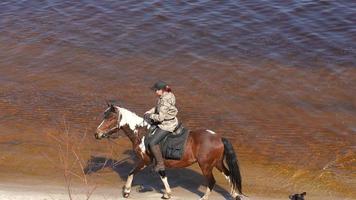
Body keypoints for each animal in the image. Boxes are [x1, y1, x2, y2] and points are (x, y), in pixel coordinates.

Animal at [94, 104, 245, 200]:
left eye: (110, 118)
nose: (97, 134)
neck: (142, 133)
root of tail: (218, 137)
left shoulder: (145, 160)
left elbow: (132, 173)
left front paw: (126, 191)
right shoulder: (156, 162)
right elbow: (162, 176)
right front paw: (167, 194)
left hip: (206, 166)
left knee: (212, 181)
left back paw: (205, 198)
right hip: (217, 163)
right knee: (229, 175)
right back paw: (235, 195)